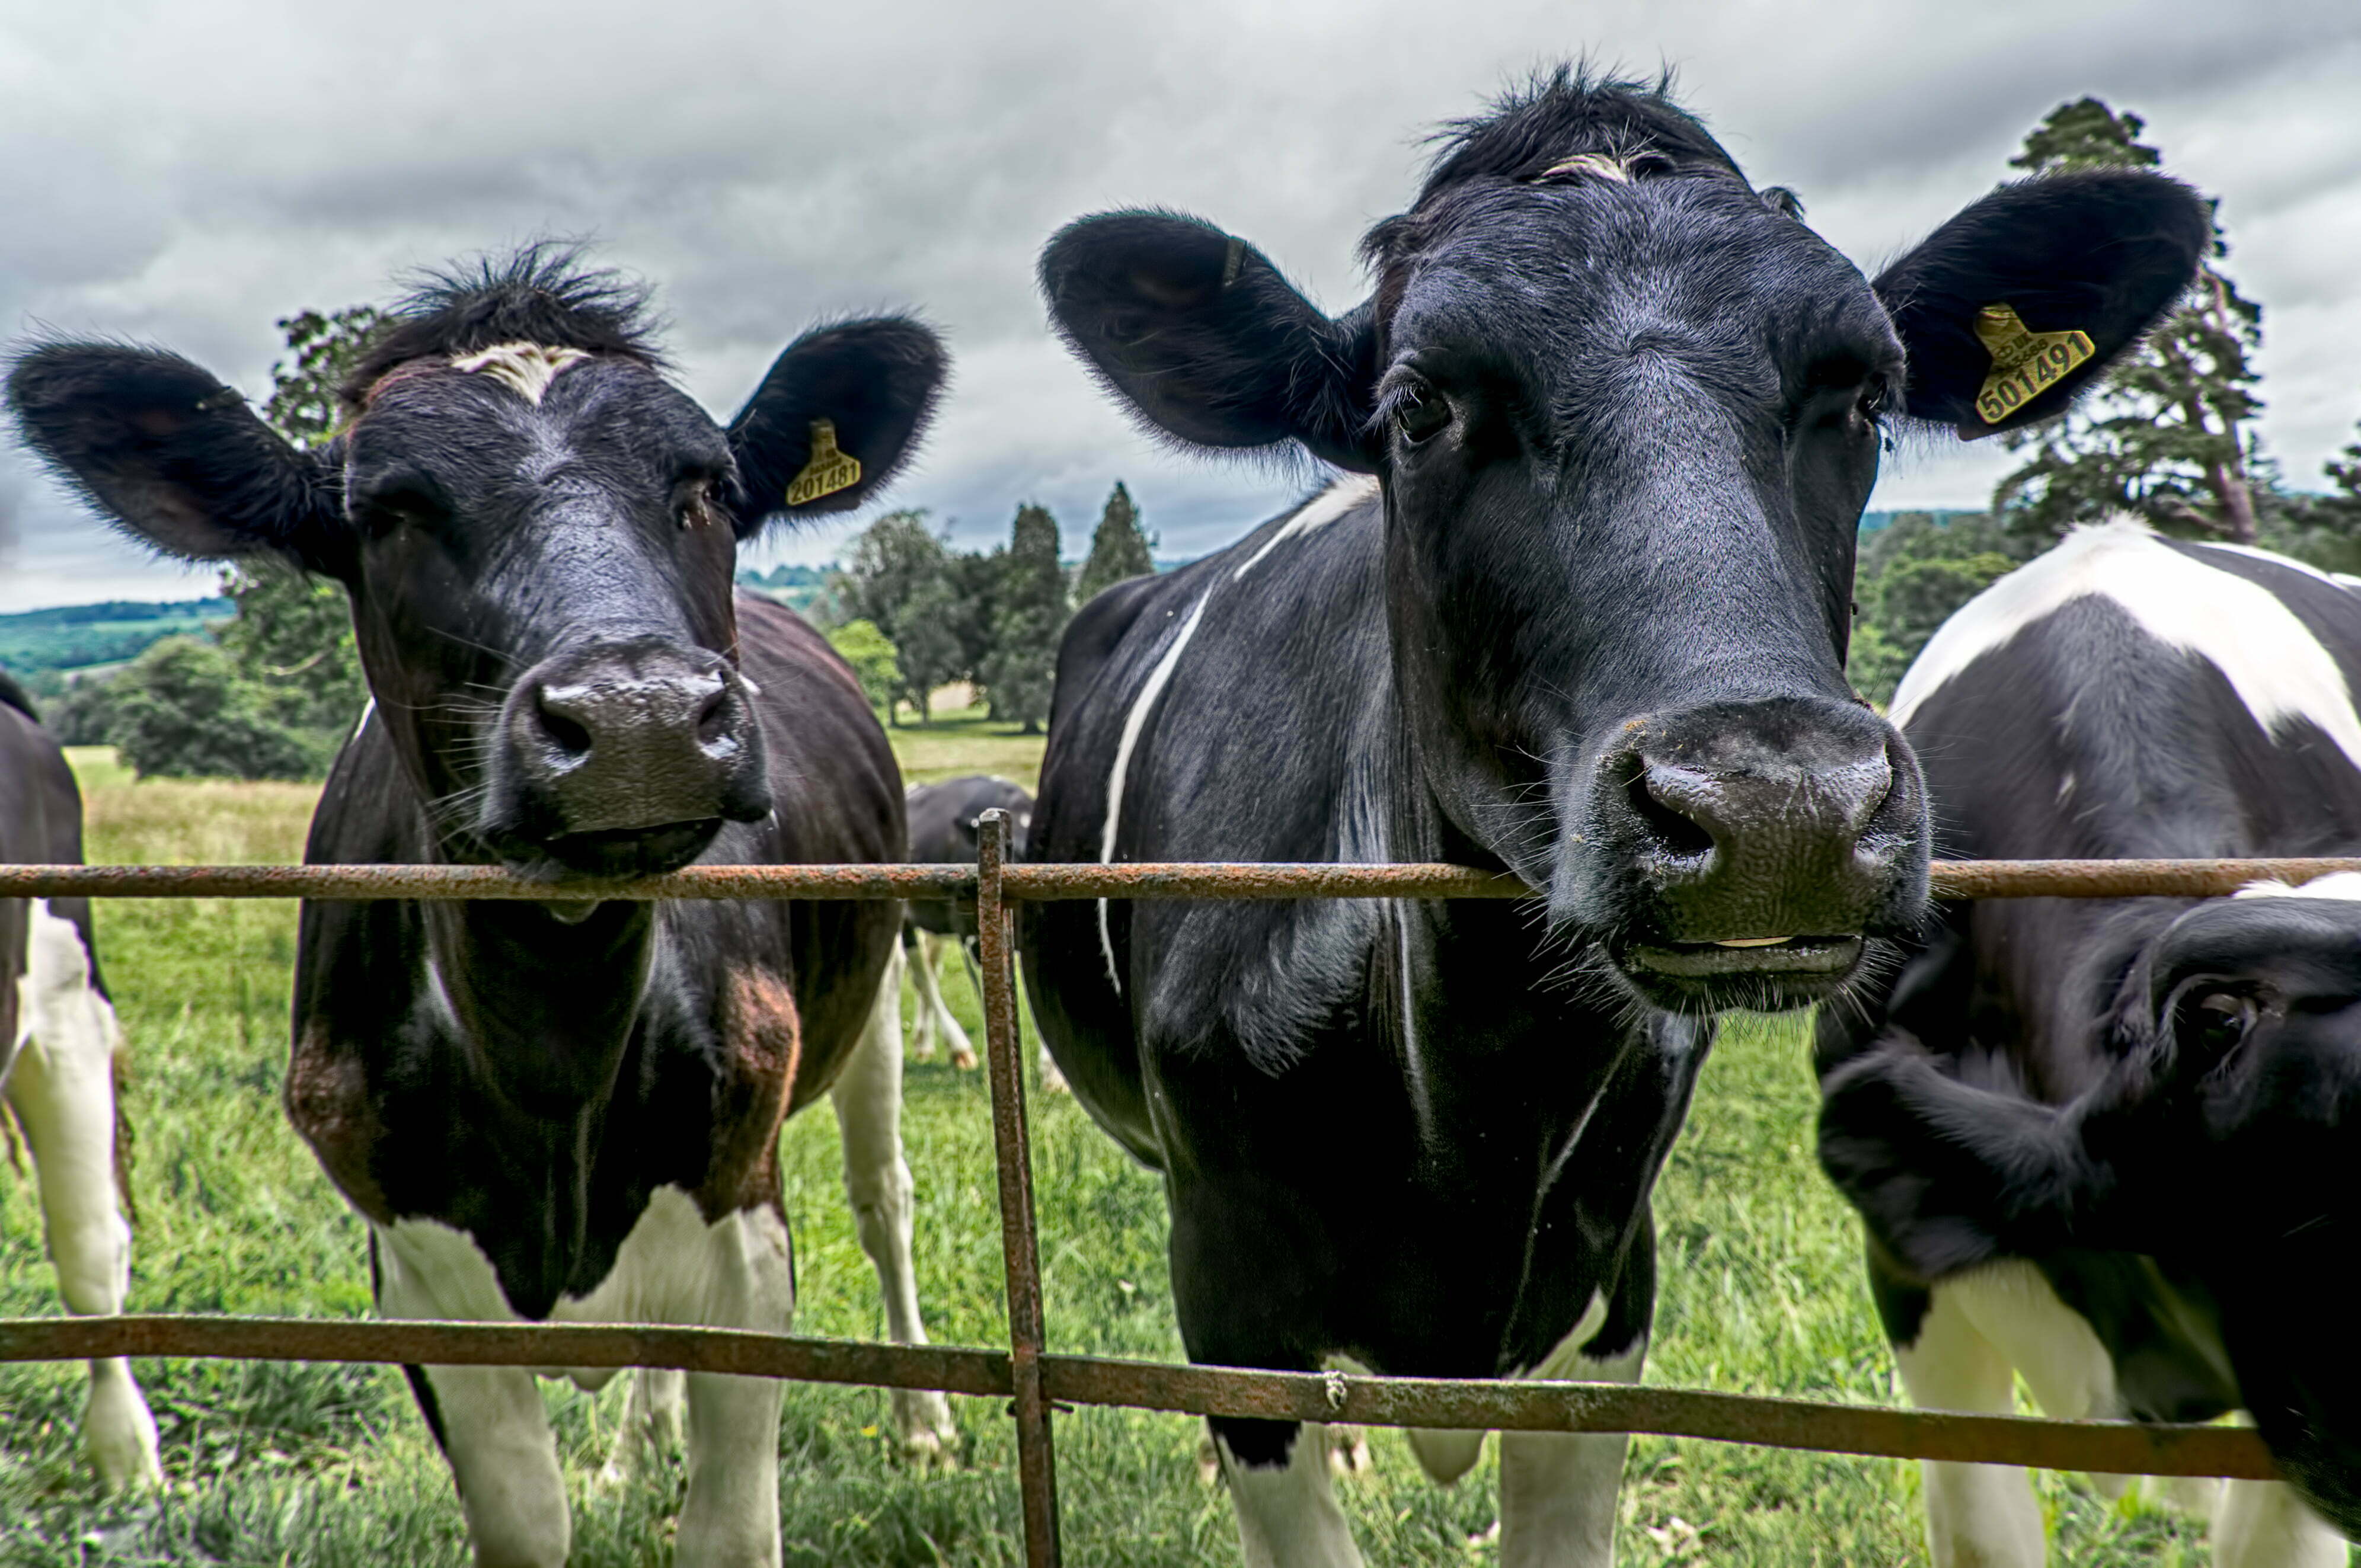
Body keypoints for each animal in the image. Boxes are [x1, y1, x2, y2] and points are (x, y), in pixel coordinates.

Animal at [8, 247, 959, 1568]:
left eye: (708, 488)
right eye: (388, 513)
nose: (639, 718)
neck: (554, 1053)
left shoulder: (744, 1221)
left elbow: (729, 1522)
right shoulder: (414, 1263)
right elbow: (527, 1519)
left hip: (865, 1002)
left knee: (886, 1200)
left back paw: (923, 1423)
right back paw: (633, 1451)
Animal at [1017, 69, 2206, 1566]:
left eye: (1862, 392)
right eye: (1418, 404)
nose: (1777, 809)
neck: (1470, 1113)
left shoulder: (1608, 1288)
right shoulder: (1224, 1291)